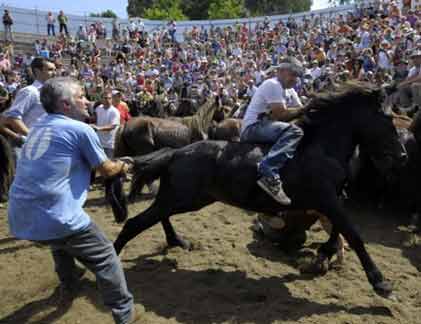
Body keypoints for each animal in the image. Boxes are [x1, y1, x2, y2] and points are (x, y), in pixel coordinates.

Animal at [106, 83, 406, 298]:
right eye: (388, 120)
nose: (402, 155)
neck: (321, 148)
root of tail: (176, 153)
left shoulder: (331, 201)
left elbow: (339, 232)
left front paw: (324, 254)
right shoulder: (327, 200)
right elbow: (354, 235)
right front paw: (380, 283)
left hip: (184, 198)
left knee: (157, 216)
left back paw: (177, 241)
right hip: (182, 198)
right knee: (135, 223)